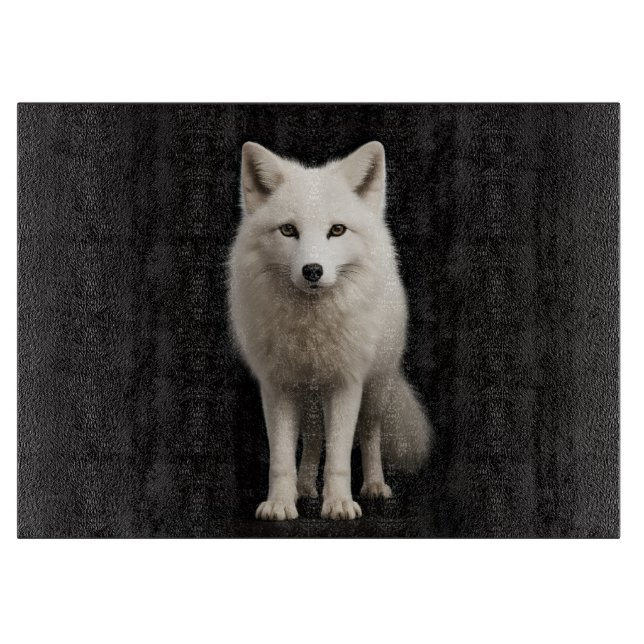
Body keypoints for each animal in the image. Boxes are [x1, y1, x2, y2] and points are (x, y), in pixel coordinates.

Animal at [228, 141, 432, 521]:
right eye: (288, 230)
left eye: (337, 230)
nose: (312, 271)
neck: (311, 331)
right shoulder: (277, 386)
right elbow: (281, 458)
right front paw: (280, 502)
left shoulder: (345, 384)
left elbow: (339, 457)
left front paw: (338, 503)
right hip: (308, 399)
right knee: (312, 439)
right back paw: (305, 487)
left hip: (375, 390)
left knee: (369, 435)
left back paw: (374, 485)